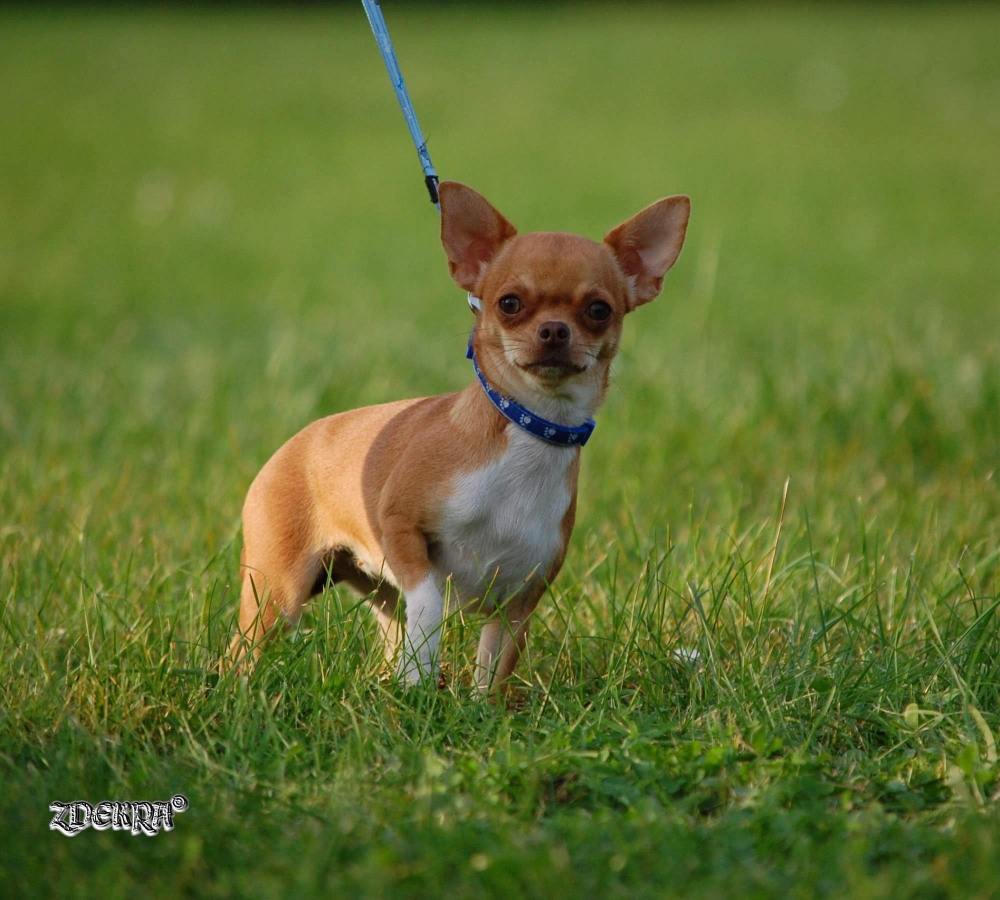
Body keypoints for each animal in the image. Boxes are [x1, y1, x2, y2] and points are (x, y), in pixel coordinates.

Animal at [231, 181, 692, 688]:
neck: (528, 432)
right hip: (279, 591)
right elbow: (429, 603)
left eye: (598, 310)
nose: (554, 330)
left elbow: (492, 669)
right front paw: (422, 681)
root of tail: (294, 443)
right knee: (245, 649)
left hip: (375, 590)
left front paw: (469, 702)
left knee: (392, 633)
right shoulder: (402, 528)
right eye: (509, 303)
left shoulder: (520, 599)